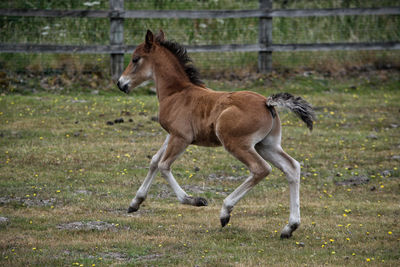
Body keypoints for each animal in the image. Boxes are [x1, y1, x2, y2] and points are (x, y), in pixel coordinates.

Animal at [117, 29, 314, 239]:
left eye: (135, 59)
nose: (120, 83)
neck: (177, 93)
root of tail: (267, 103)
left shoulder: (181, 137)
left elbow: (163, 165)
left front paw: (195, 200)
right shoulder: (171, 134)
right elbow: (154, 161)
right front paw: (135, 203)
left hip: (236, 143)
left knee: (261, 169)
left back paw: (225, 212)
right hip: (267, 145)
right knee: (292, 168)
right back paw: (289, 227)